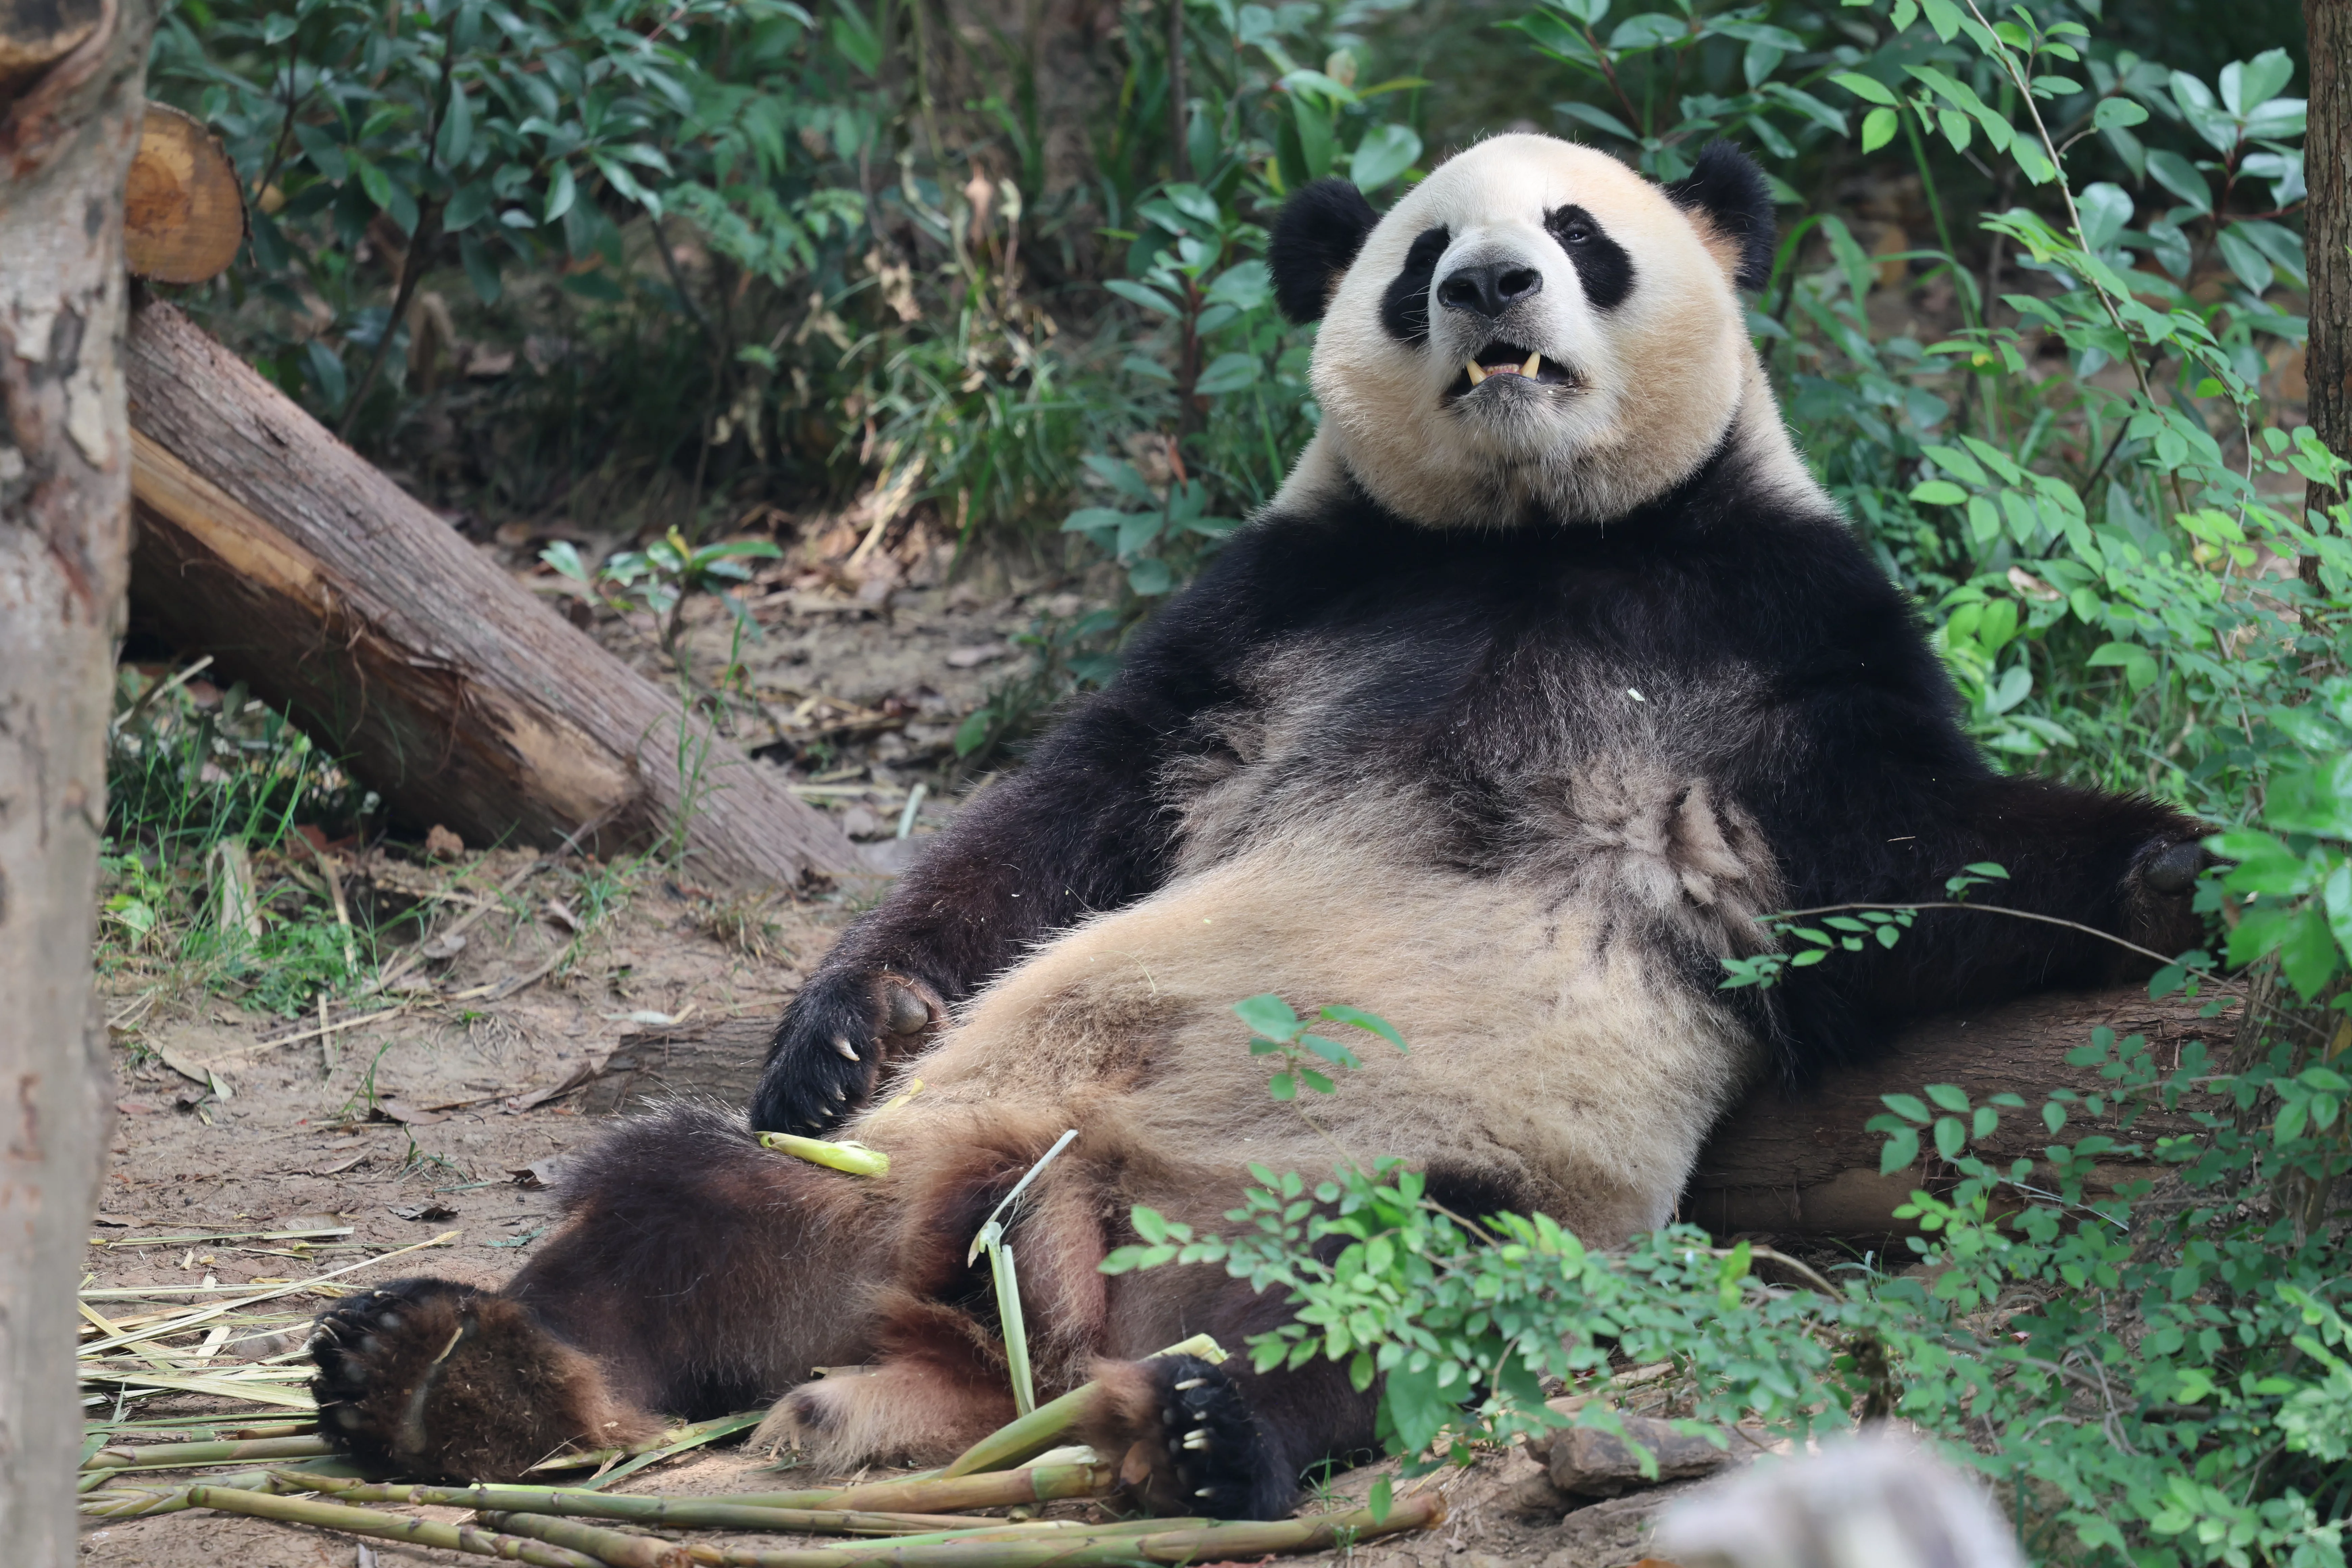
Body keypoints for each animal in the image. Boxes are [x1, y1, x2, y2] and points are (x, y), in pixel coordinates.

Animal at [307, 134, 2206, 1517]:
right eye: (1424, 254)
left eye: (1579, 232)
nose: (1494, 284)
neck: (1530, 542)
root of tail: (1007, 1297)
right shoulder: (1281, 598)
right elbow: (1070, 810)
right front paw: (841, 1026)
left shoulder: (1772, 617)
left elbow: (1904, 850)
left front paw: (2171, 868)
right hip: (877, 1185)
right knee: (669, 1200)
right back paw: (441, 1371)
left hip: (1391, 1186)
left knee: (1390, 1299)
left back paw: (1211, 1429)